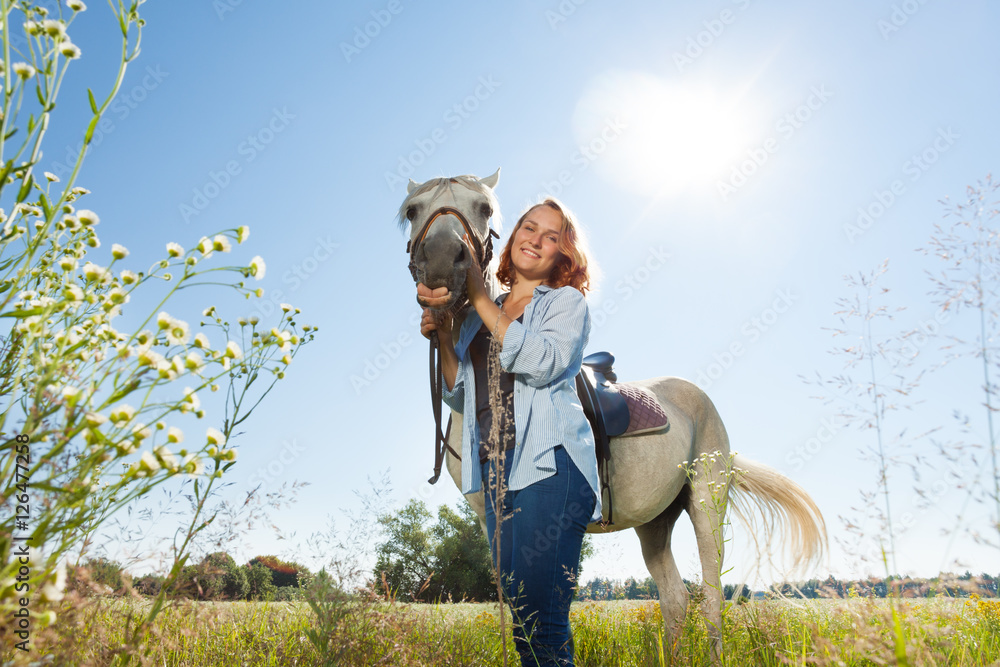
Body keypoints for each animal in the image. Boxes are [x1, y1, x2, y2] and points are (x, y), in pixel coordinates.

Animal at [398, 170, 828, 656]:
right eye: (412, 210)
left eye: (485, 208)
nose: (440, 262)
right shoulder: (490, 517)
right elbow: (511, 604)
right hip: (655, 522)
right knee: (675, 598)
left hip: (706, 503)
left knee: (712, 597)